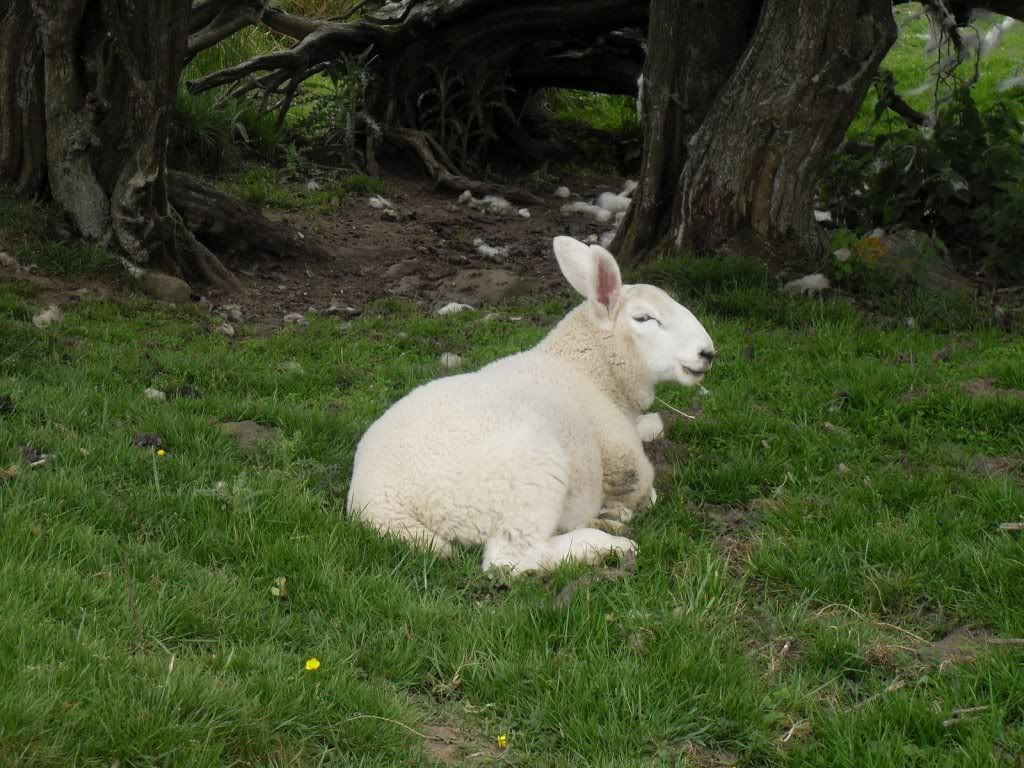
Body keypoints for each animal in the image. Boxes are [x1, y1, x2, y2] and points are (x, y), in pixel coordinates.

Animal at [347, 236, 716, 574]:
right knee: (511, 559)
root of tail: (376, 501)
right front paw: (620, 510)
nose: (707, 352)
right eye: (644, 318)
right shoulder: (621, 455)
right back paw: (606, 543)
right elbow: (642, 488)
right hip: (531, 475)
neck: (590, 370)